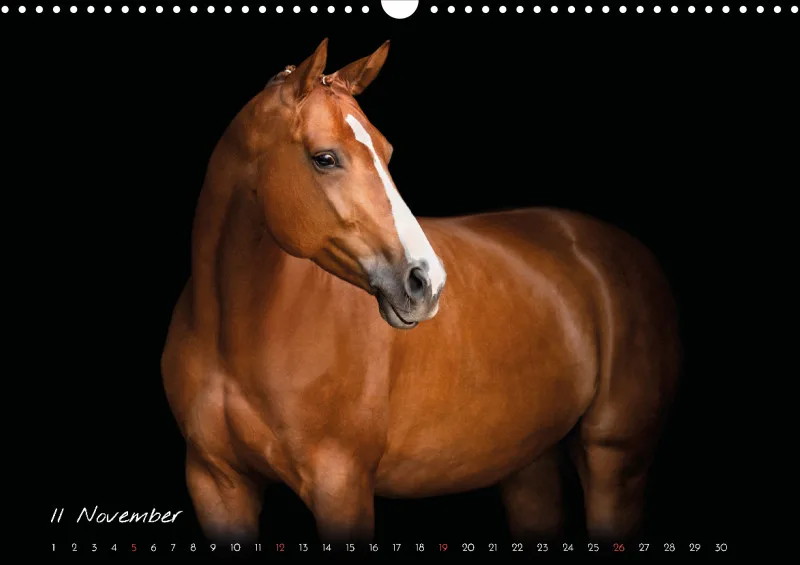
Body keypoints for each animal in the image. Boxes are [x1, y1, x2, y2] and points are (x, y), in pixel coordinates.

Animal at [161, 39, 681, 545]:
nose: (426, 282)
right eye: (325, 157)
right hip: (529, 463)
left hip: (614, 459)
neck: (234, 334)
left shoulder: (341, 485)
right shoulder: (217, 484)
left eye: (387, 153)